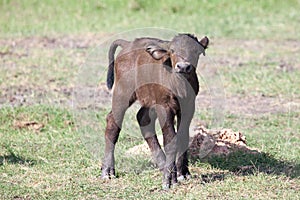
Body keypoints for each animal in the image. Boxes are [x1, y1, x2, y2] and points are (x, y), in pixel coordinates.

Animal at [101, 33, 209, 189]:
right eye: (172, 50)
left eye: (195, 50)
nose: (183, 67)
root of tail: (127, 44)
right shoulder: (164, 107)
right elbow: (170, 141)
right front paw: (169, 180)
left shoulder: (188, 108)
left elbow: (182, 138)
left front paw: (183, 173)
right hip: (123, 94)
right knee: (112, 123)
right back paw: (107, 170)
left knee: (142, 119)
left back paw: (162, 164)